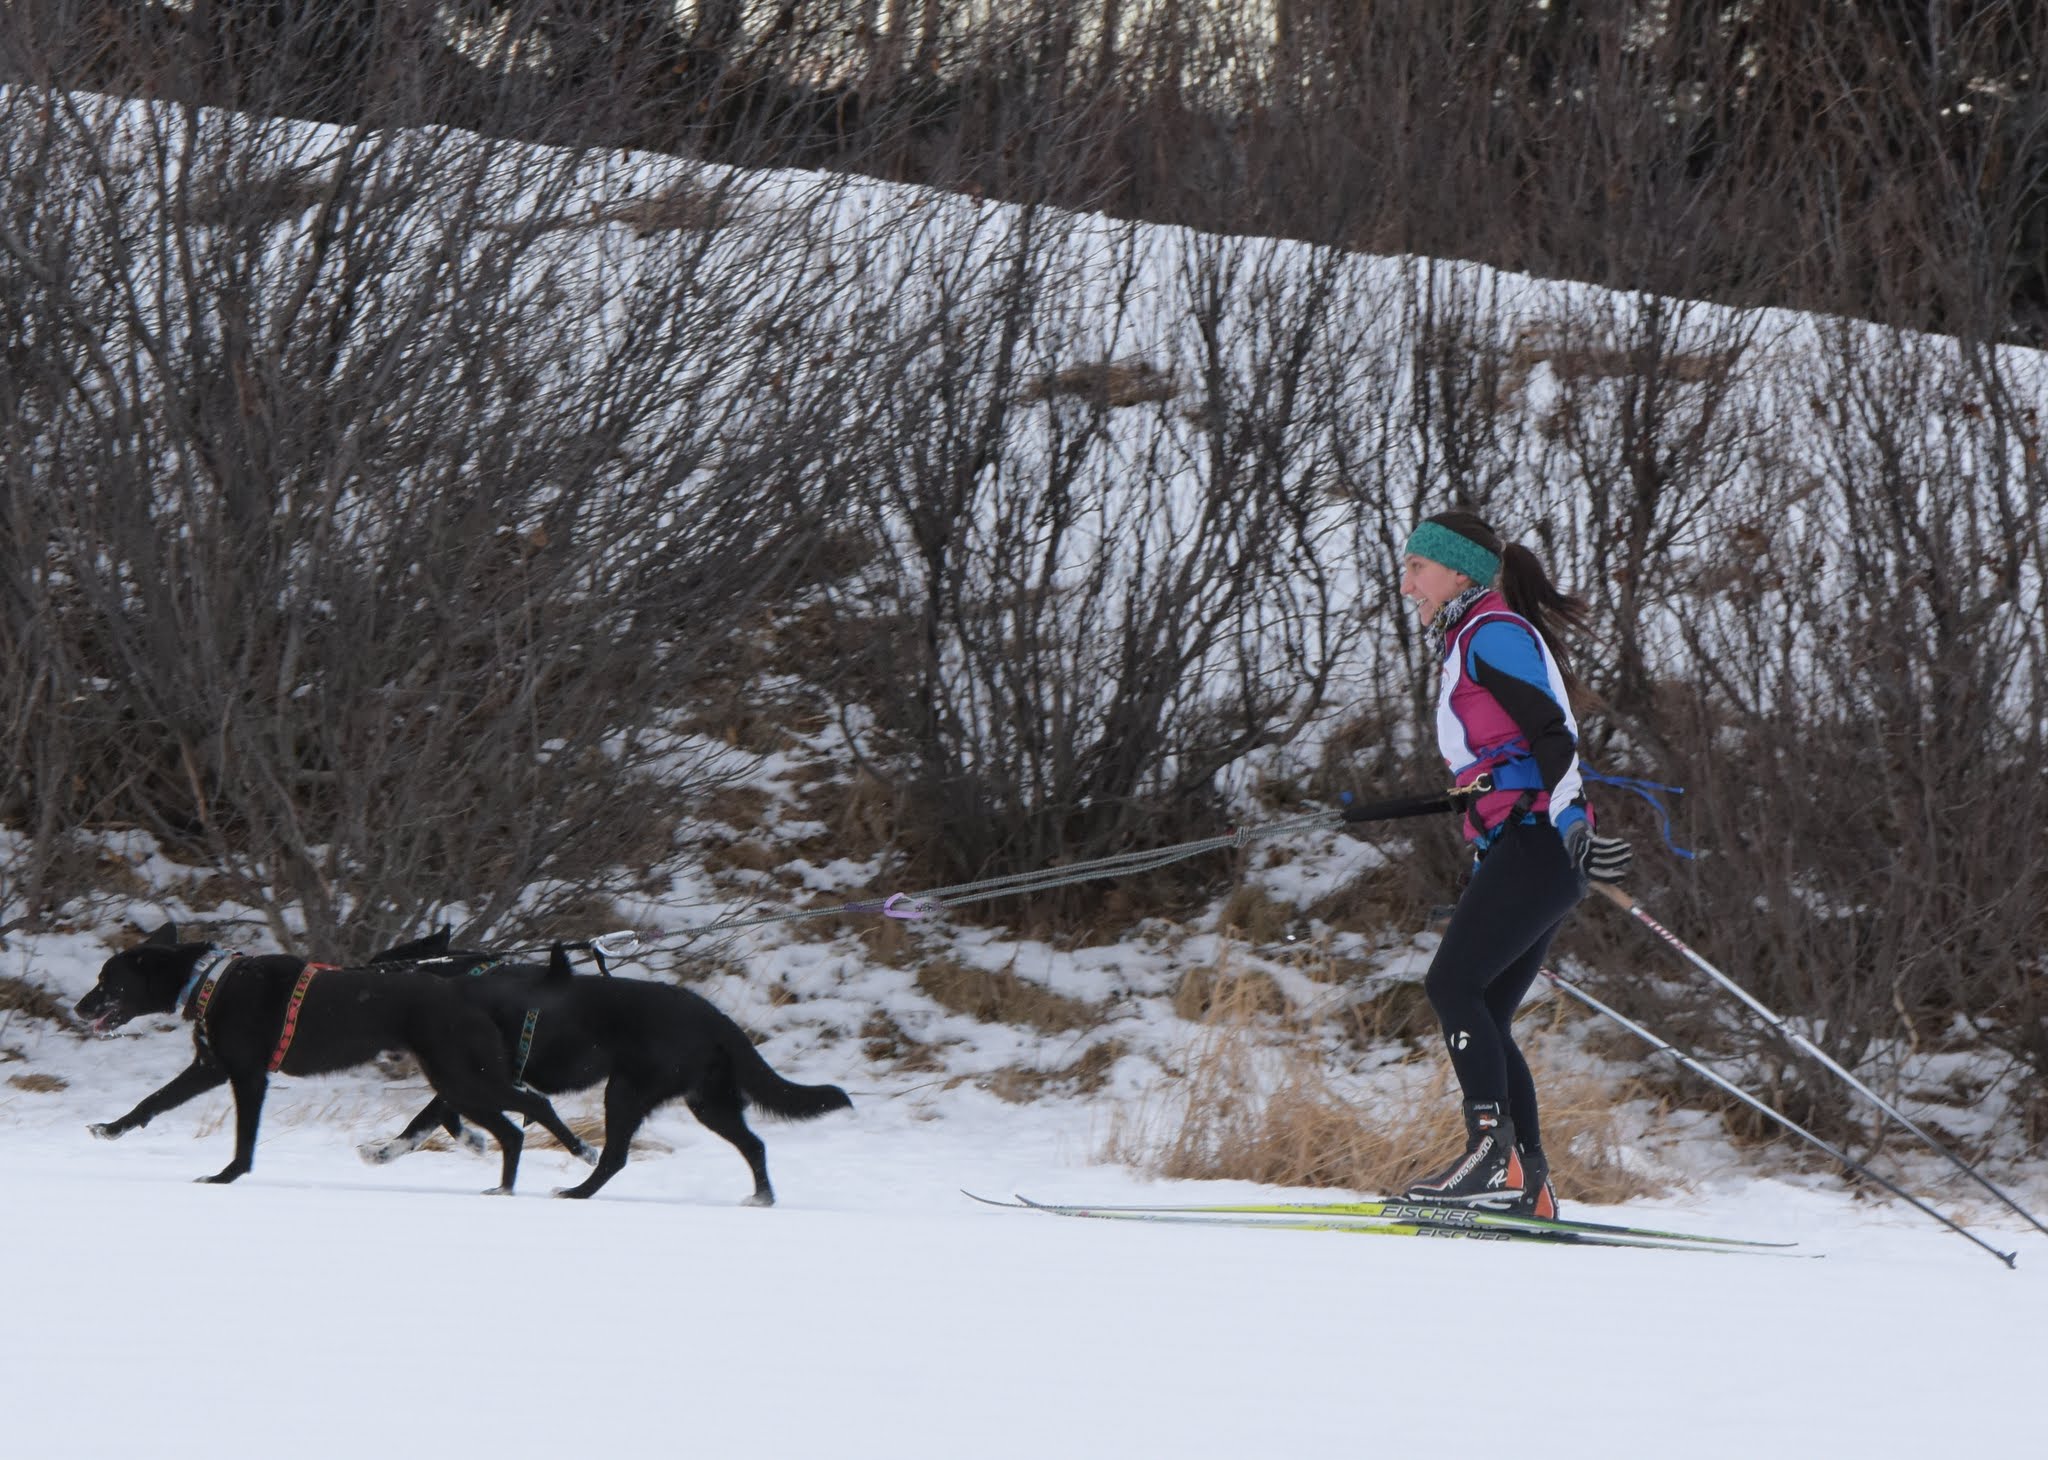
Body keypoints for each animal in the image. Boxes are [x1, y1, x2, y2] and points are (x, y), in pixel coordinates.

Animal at [77, 917, 593, 1187]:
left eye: (107, 981)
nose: (80, 1008)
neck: (211, 981)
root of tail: (472, 992)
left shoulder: (247, 1076)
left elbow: (245, 1137)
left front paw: (228, 1176)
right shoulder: (210, 1067)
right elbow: (152, 1101)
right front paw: (110, 1129)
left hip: (463, 1077)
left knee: (527, 1114)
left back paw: (564, 1160)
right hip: (463, 1078)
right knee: (519, 1118)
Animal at [368, 937, 847, 1204]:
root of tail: (717, 1018)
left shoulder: (476, 1078)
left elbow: (431, 1116)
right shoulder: (475, 1080)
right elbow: (435, 1118)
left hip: (626, 1092)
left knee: (615, 1156)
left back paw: (576, 1192)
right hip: (709, 1102)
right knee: (755, 1145)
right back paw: (762, 1198)